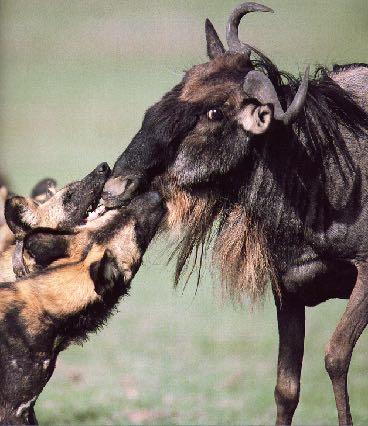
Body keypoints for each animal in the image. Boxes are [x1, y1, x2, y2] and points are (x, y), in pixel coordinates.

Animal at [0, 185, 164, 424]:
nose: (154, 194)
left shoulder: (27, 410)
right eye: (138, 232)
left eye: (109, 216)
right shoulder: (13, 410)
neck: (44, 304)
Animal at [101, 3, 368, 426]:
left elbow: (336, 358)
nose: (114, 188)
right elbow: (286, 387)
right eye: (179, 87)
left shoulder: (366, 275)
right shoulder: (287, 288)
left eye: (213, 112)